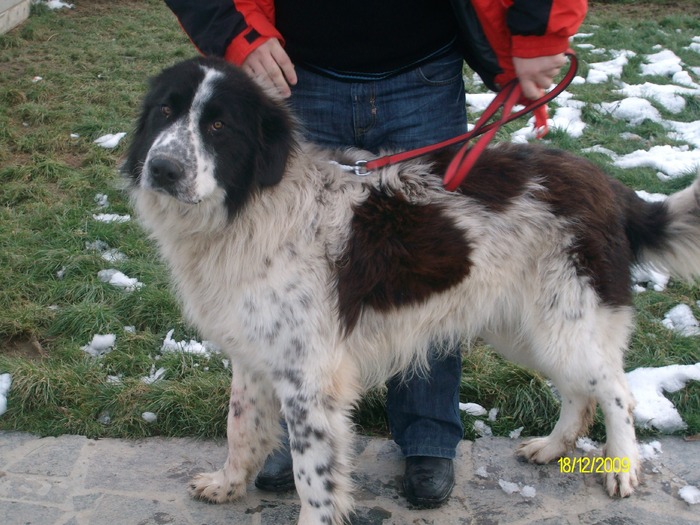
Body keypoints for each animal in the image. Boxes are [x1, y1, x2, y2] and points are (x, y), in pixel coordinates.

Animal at [123, 57, 700, 524]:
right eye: (165, 112)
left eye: (219, 125)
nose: (163, 168)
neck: (252, 206)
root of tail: (611, 187)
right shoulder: (255, 354)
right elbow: (240, 427)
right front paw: (228, 484)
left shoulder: (311, 377)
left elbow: (315, 477)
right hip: (528, 328)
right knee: (581, 393)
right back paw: (552, 448)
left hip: (568, 322)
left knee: (618, 393)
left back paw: (622, 468)